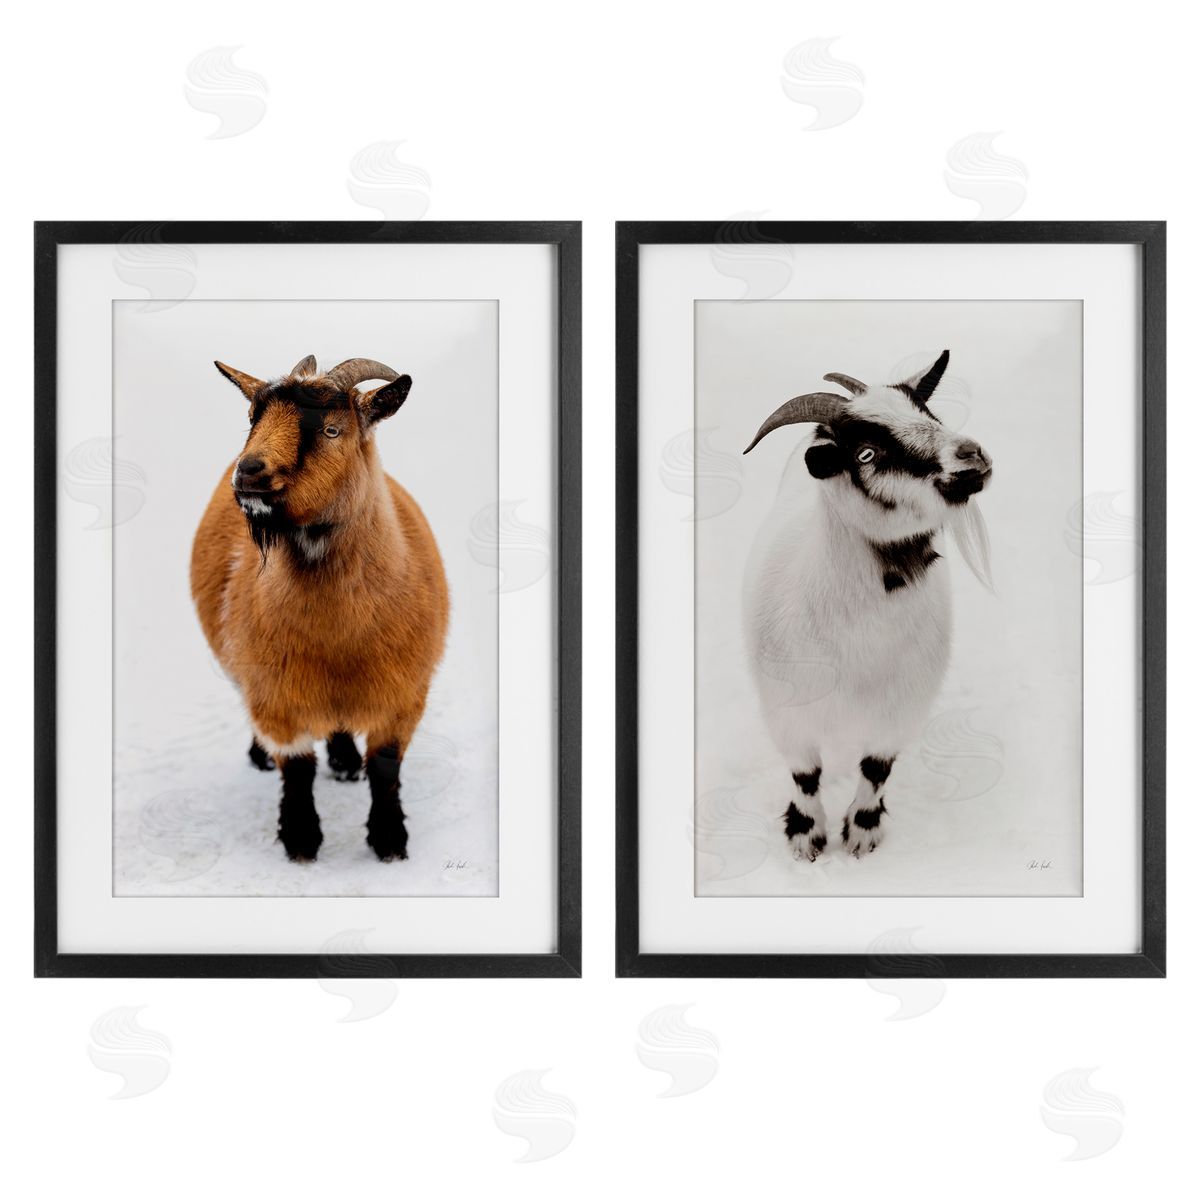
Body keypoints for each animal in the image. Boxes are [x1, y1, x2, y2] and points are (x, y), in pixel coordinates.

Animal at [190, 354, 449, 863]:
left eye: (332, 430)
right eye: (253, 418)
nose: (249, 472)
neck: (339, 637)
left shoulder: (404, 695)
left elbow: (386, 769)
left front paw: (390, 842)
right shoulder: (276, 694)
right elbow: (297, 770)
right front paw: (301, 839)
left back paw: (346, 761)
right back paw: (263, 757)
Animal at [742, 350, 992, 860]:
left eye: (930, 415)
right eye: (867, 453)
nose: (970, 455)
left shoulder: (902, 709)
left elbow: (876, 770)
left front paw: (861, 834)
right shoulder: (785, 711)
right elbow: (805, 775)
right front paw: (806, 838)